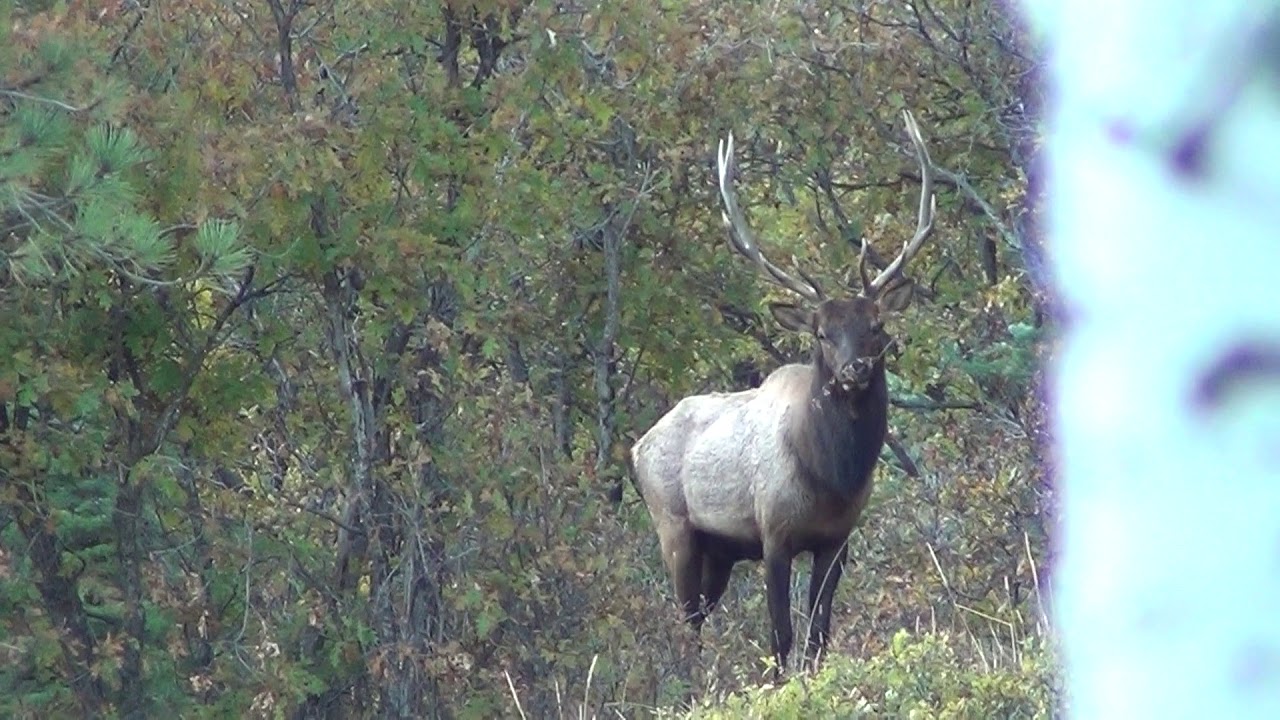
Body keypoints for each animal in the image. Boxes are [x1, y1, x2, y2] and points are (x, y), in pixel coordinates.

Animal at [629, 110, 937, 677]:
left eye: (876, 326)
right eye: (821, 333)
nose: (856, 368)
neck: (831, 477)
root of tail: (636, 447)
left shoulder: (837, 539)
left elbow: (819, 632)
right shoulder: (773, 532)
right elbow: (781, 634)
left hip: (719, 552)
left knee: (699, 615)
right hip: (673, 525)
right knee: (685, 621)